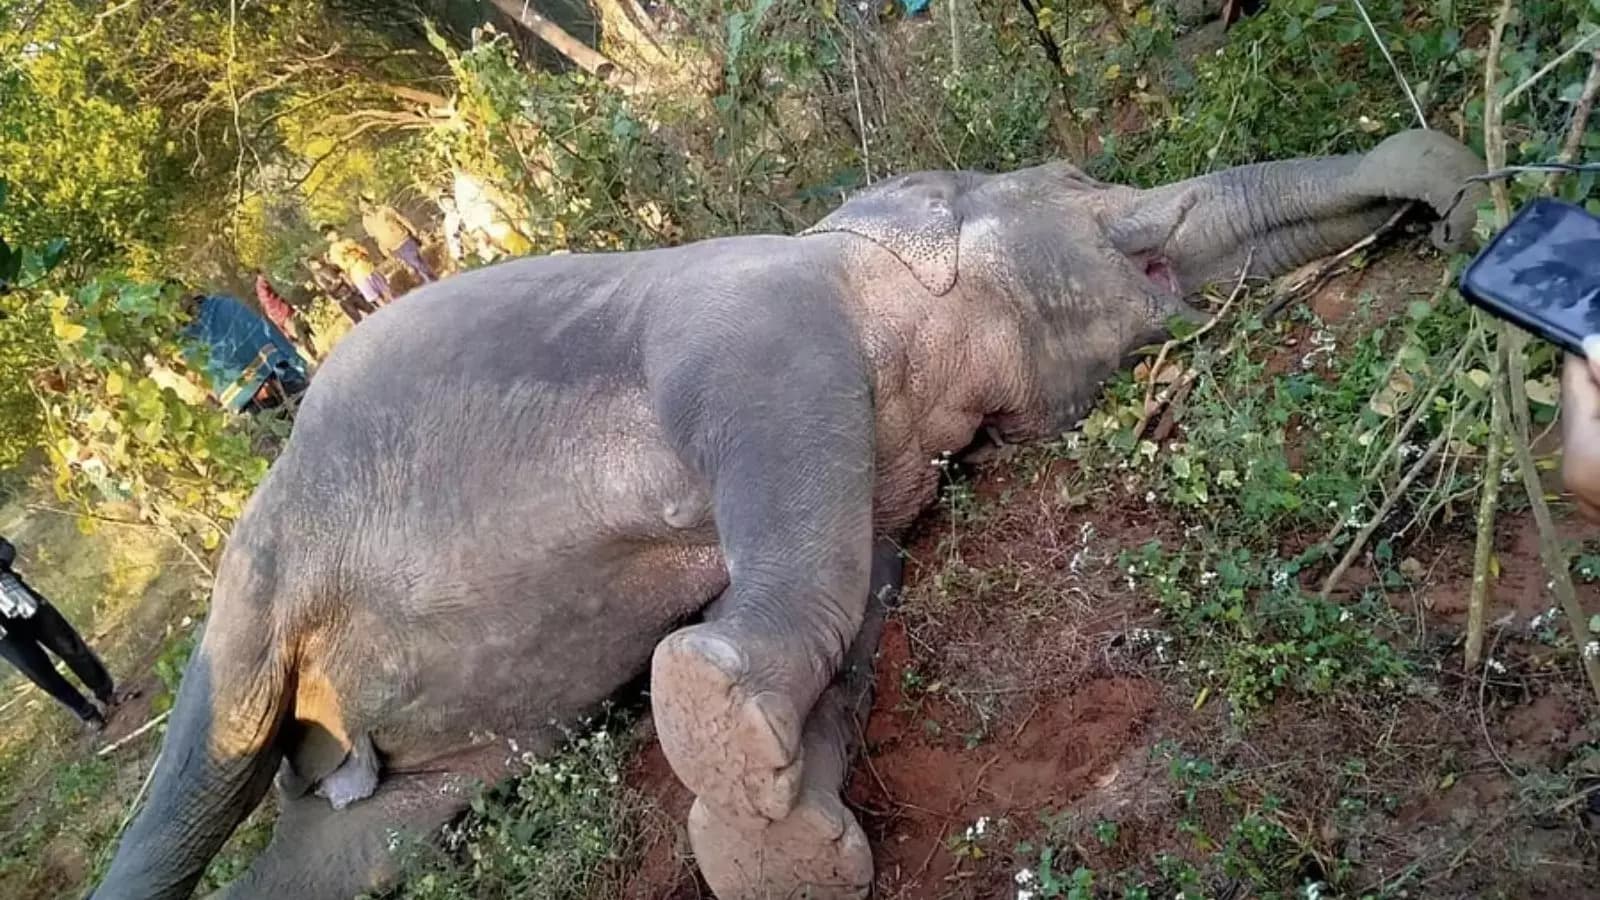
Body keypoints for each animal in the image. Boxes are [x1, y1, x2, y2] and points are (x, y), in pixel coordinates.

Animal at [91, 128, 1486, 900]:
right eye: (1076, 182)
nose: (1447, 186)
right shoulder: (759, 323)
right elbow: (804, 551)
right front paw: (719, 722)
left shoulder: (882, 478)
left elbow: (854, 609)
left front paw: (781, 836)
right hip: (259, 575)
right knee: (208, 759)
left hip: (413, 774)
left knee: (354, 851)